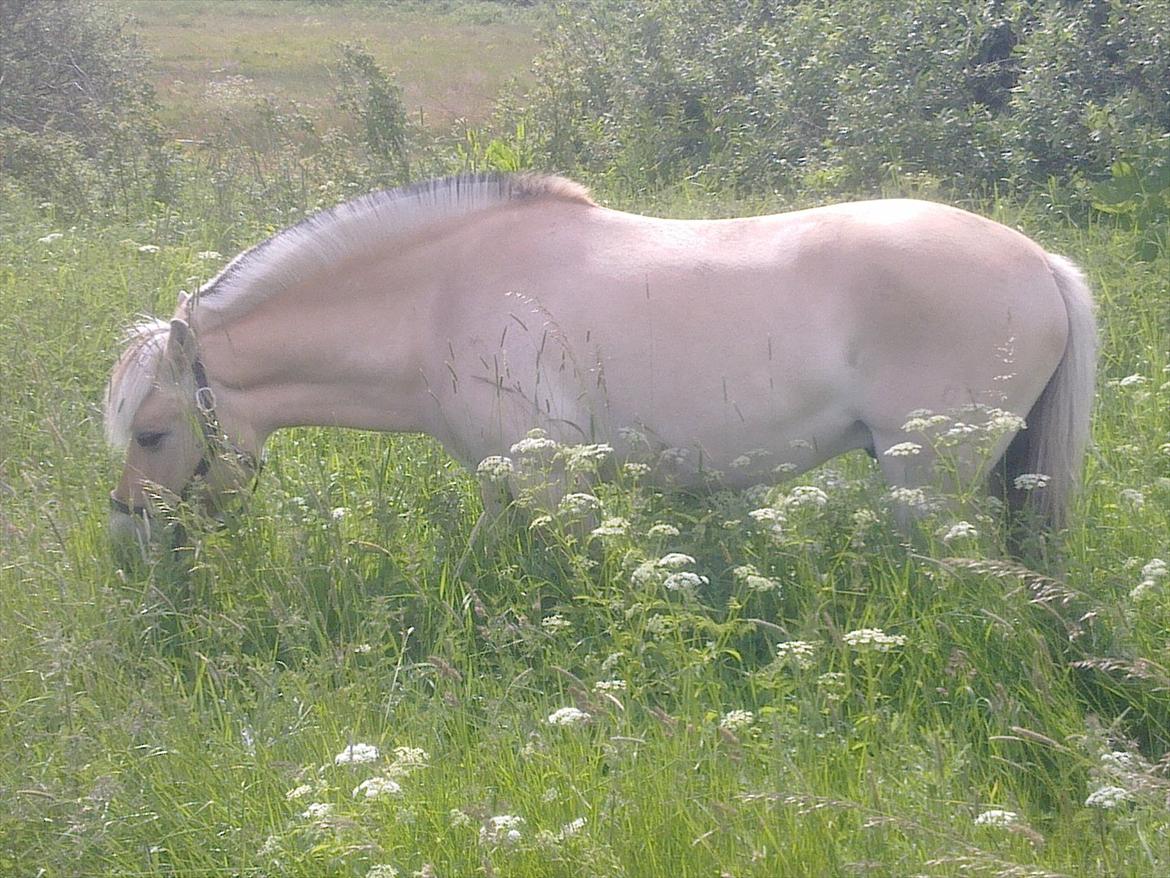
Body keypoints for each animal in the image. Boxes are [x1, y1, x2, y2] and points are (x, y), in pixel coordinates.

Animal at [102, 173, 1095, 550]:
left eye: (152, 433)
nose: (130, 534)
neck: (438, 296)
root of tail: (1042, 262)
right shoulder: (502, 484)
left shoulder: (553, 482)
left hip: (929, 485)